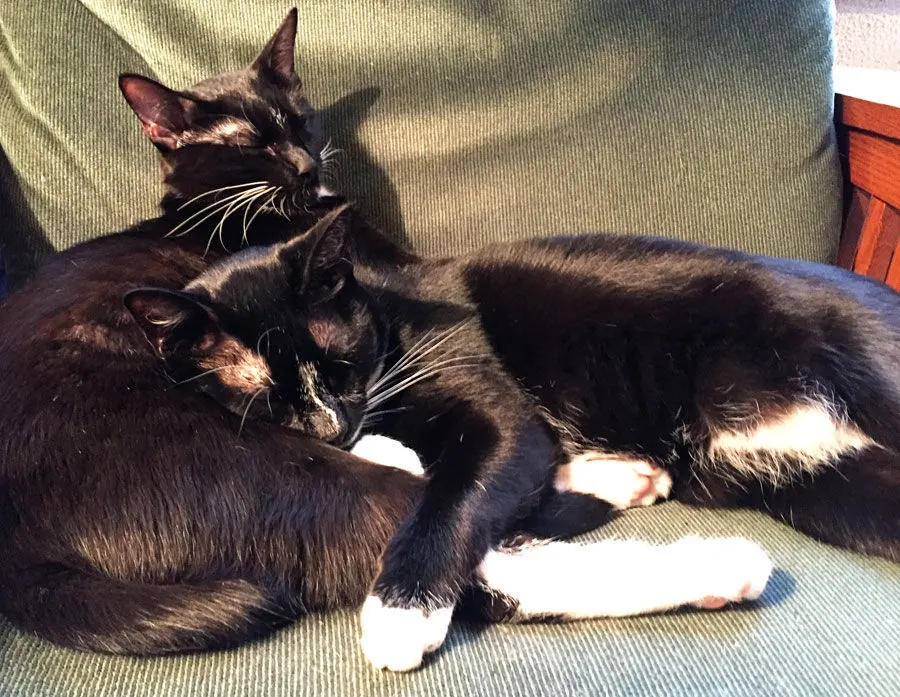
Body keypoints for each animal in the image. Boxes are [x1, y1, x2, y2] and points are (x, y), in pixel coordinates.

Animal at [128, 205, 900, 668]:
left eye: (339, 363)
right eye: (268, 400)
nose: (331, 426)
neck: (393, 320)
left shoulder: (497, 406)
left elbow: (458, 493)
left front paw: (400, 610)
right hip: (828, 489)